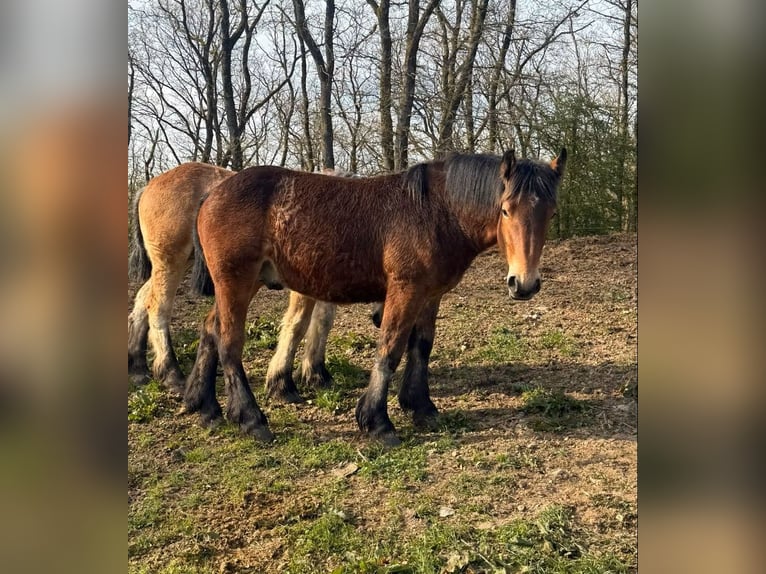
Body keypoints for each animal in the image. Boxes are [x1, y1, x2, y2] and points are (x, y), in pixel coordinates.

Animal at [128, 162, 354, 397]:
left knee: (143, 299)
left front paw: (315, 373)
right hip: (171, 262)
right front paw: (282, 381)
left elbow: (323, 321)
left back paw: (139, 368)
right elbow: (297, 323)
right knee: (158, 308)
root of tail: (149, 186)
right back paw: (170, 372)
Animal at [184, 148, 566, 445]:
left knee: (210, 329)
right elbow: (391, 348)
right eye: (505, 209)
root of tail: (212, 194)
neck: (435, 212)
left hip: (238, 285)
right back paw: (251, 419)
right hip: (236, 283)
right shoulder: (405, 290)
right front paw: (377, 422)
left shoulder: (430, 295)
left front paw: (420, 406)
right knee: (229, 342)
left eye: (550, 212)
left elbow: (420, 347)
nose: (524, 284)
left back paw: (206, 407)